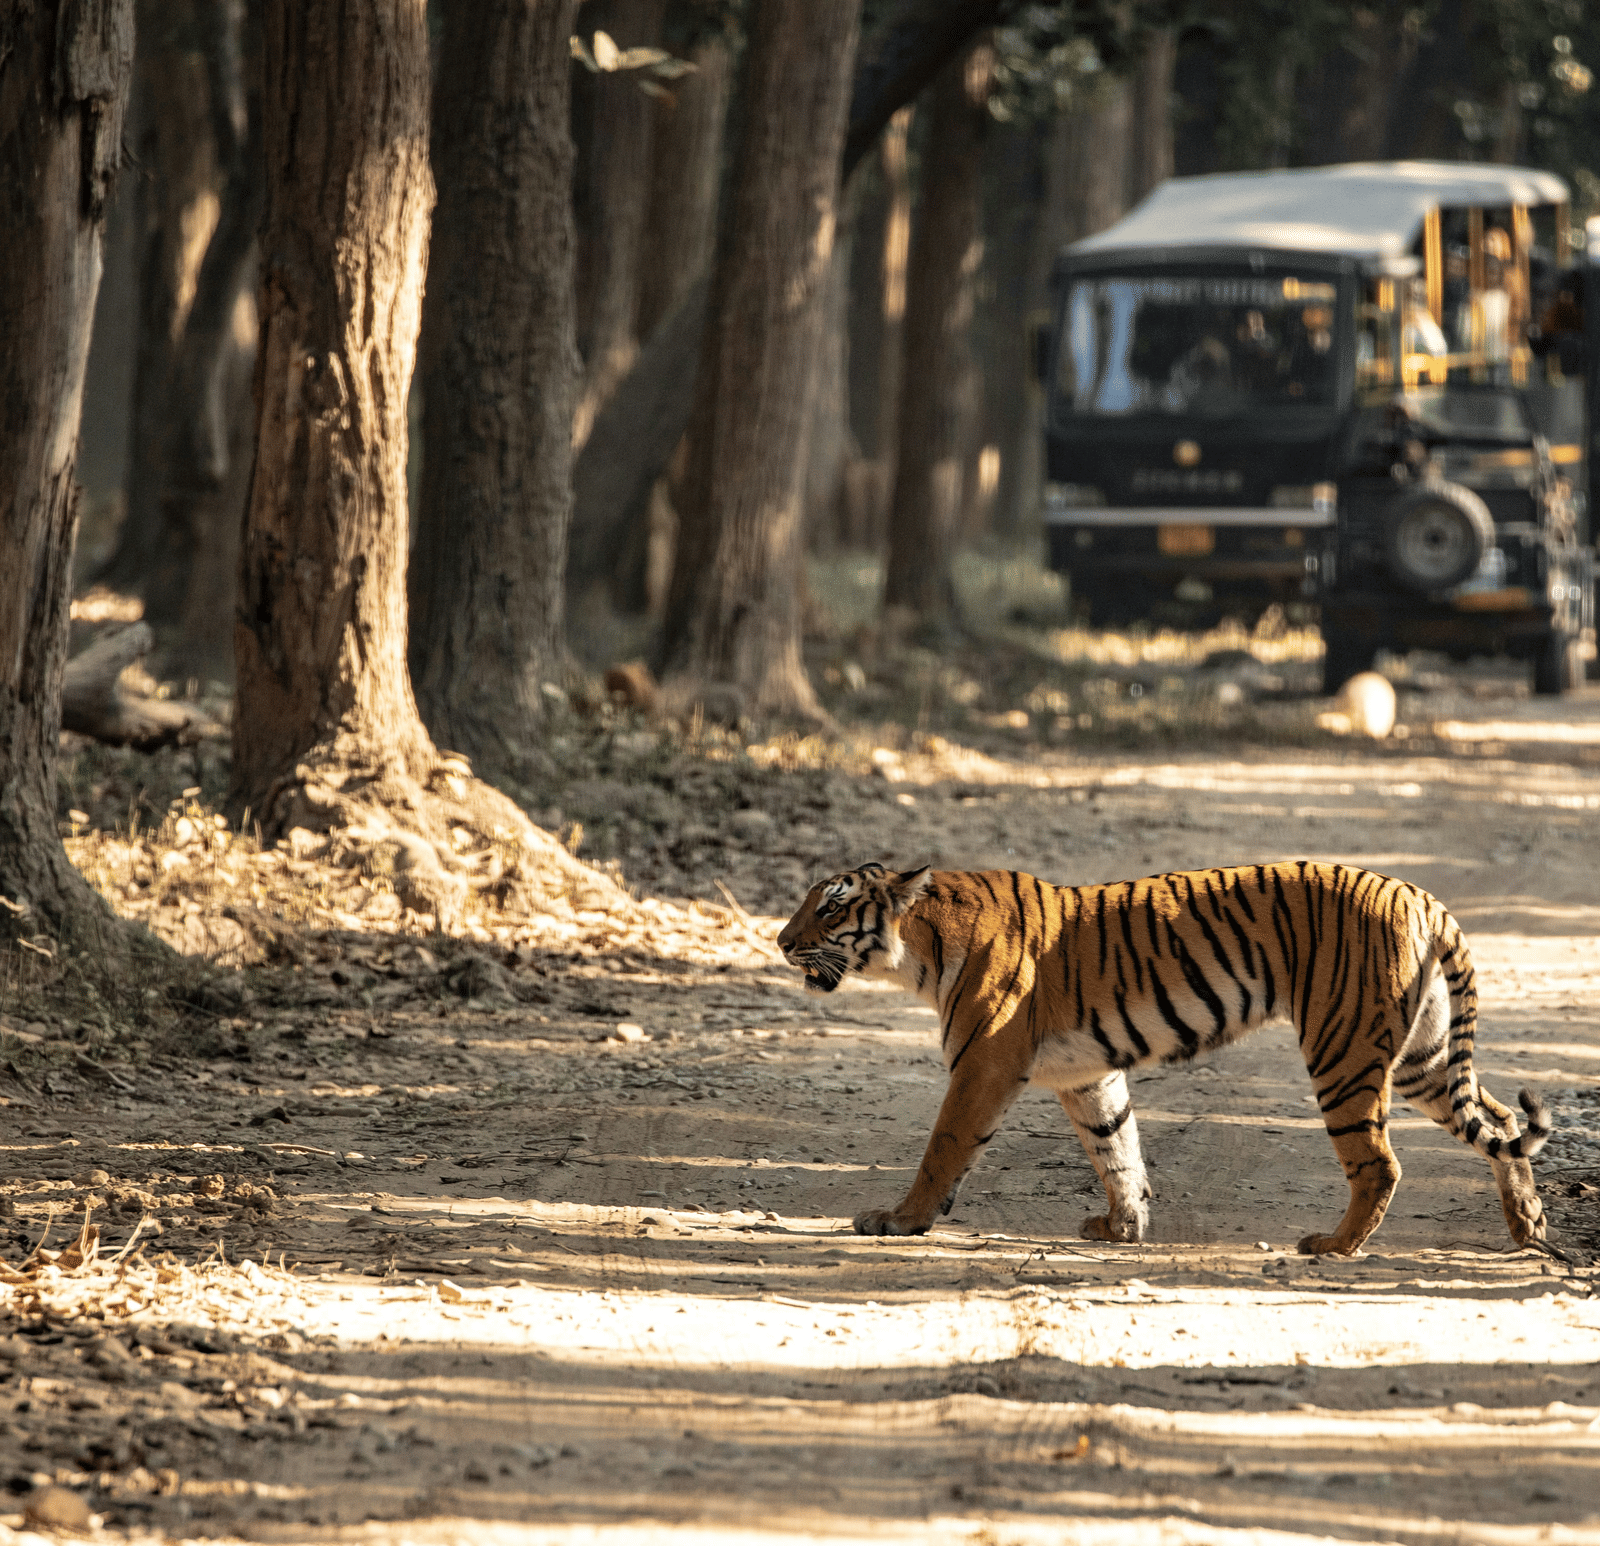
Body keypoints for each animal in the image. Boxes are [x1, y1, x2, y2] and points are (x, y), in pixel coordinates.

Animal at [777, 860, 1550, 1256]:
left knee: (1381, 1162)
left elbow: (942, 1148)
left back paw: (1333, 1244)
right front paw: (1122, 1227)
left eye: (829, 908)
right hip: (1423, 1057)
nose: (781, 941)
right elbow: (1117, 1149)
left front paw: (898, 1221)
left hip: (1344, 1050)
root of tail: (1419, 894)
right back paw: (1528, 1226)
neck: (920, 951)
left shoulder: (983, 1065)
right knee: (1502, 1119)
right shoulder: (1088, 1073)